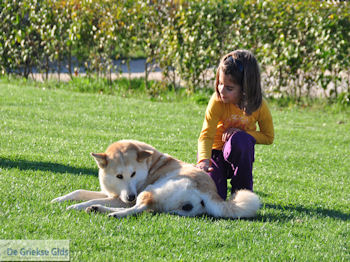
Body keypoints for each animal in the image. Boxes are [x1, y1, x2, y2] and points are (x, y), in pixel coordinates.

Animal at [51, 140, 260, 218]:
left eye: (133, 174)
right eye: (119, 176)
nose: (130, 196)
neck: (150, 165)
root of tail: (211, 192)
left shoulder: (122, 198)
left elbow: (88, 198)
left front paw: (74, 206)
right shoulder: (113, 194)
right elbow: (79, 191)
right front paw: (59, 199)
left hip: (150, 190)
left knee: (139, 208)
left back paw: (110, 213)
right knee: (148, 209)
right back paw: (98, 209)